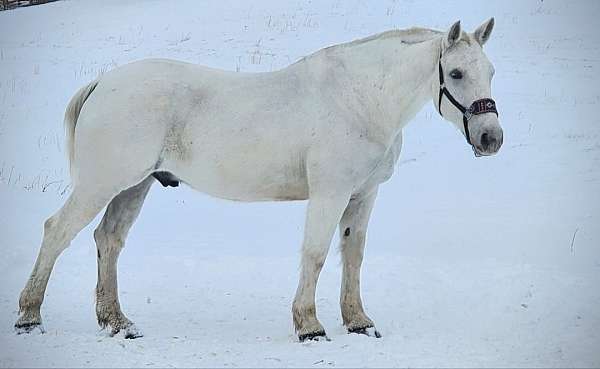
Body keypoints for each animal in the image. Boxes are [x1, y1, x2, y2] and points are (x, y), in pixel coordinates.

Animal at [15, 18, 502, 340]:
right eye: (456, 73)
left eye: (491, 71)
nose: (491, 137)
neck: (360, 99)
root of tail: (103, 82)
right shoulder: (329, 194)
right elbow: (316, 255)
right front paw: (309, 325)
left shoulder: (363, 196)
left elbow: (353, 256)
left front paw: (358, 321)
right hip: (102, 183)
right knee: (56, 232)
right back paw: (30, 315)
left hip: (133, 186)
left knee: (109, 240)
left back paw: (116, 322)